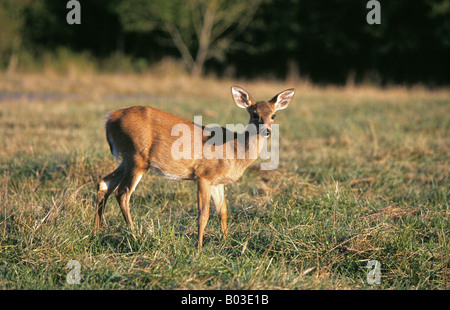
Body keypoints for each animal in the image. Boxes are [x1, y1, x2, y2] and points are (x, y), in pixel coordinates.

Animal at [95, 85, 296, 249]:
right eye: (254, 114)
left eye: (273, 115)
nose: (267, 131)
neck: (235, 149)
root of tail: (110, 117)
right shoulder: (204, 175)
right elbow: (203, 214)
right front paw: (199, 247)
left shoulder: (217, 182)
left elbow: (222, 211)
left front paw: (226, 241)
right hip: (138, 157)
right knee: (122, 193)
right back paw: (134, 235)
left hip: (126, 159)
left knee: (104, 183)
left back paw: (97, 230)